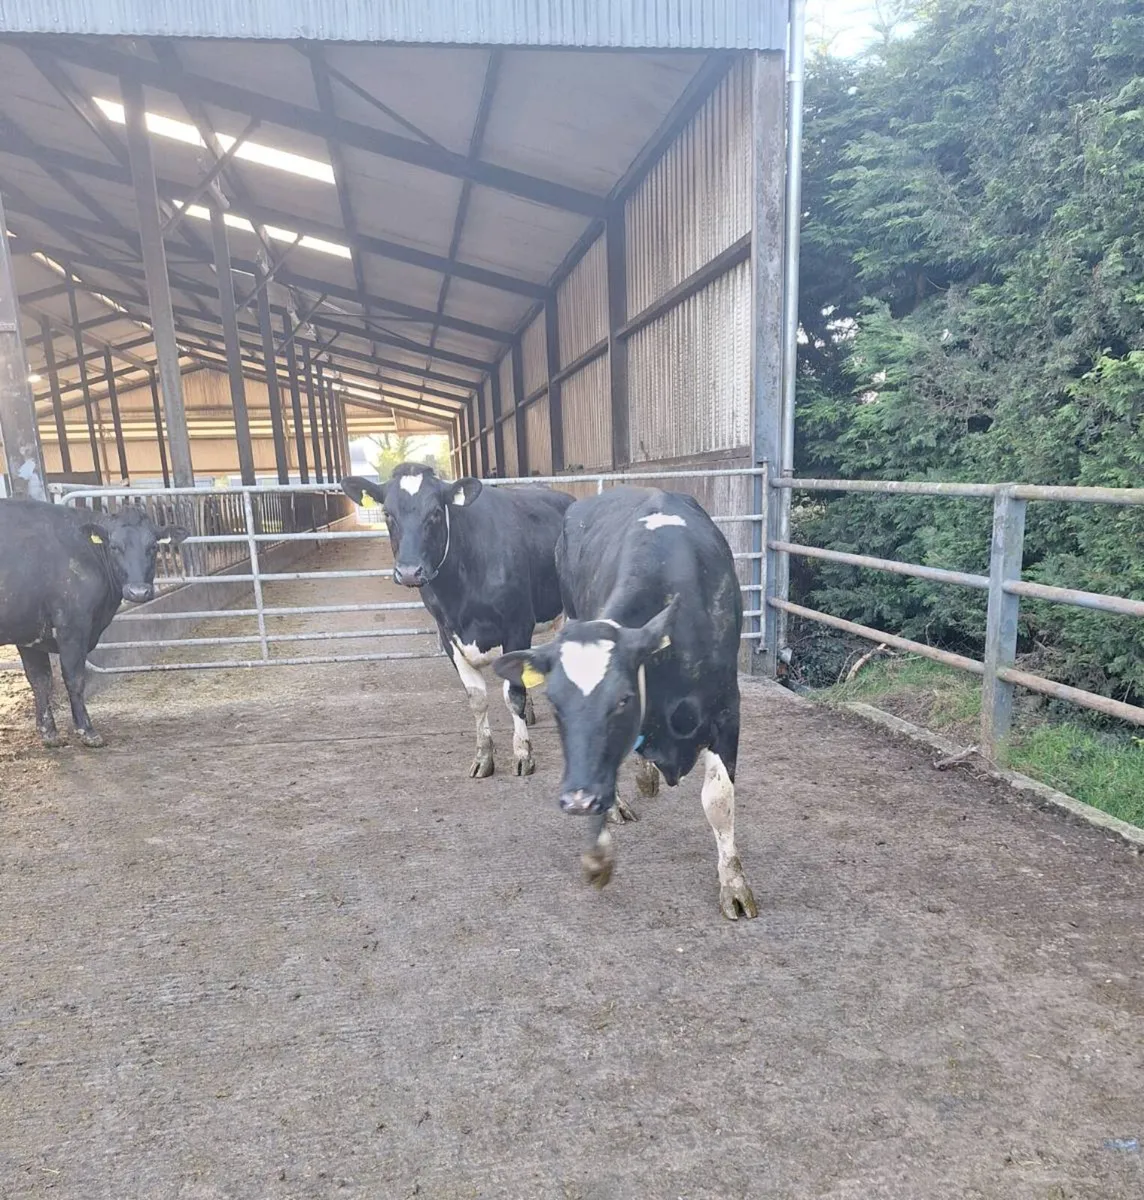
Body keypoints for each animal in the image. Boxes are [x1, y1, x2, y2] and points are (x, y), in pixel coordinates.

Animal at [0, 499, 188, 747]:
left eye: (153, 547)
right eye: (114, 547)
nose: (138, 591)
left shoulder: (29, 633)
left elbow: (40, 680)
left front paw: (49, 734)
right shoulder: (73, 627)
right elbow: (74, 679)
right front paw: (87, 731)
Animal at [341, 465, 574, 778]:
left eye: (436, 512)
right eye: (387, 513)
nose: (409, 571)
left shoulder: (517, 625)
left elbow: (513, 696)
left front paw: (523, 755)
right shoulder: (447, 634)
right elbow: (477, 698)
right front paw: (483, 757)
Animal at [494, 486, 758, 921]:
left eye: (623, 699)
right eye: (554, 702)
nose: (577, 801)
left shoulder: (727, 711)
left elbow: (718, 801)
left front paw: (734, 885)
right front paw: (598, 856)